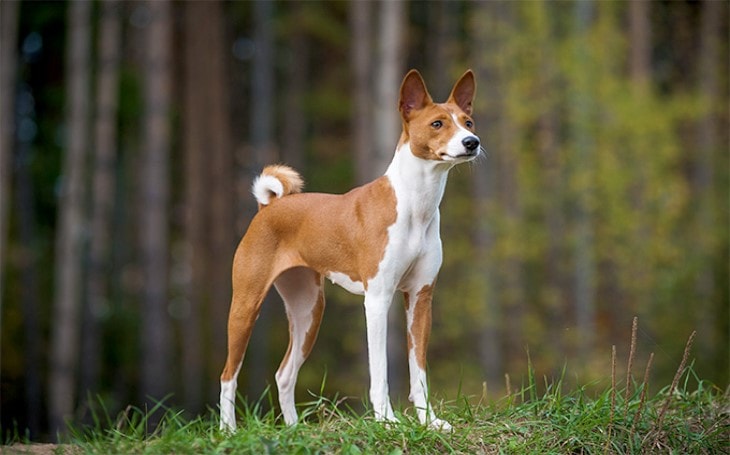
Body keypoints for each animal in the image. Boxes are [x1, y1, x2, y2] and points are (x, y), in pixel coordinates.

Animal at [220, 69, 484, 432]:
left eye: (468, 122)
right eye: (437, 124)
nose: (472, 142)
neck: (416, 206)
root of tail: (269, 206)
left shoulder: (420, 297)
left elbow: (419, 371)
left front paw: (429, 421)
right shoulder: (377, 299)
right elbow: (379, 372)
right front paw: (386, 419)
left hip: (308, 311)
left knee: (284, 374)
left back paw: (294, 429)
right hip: (245, 306)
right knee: (228, 375)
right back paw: (227, 431)